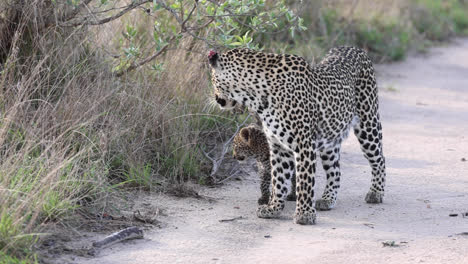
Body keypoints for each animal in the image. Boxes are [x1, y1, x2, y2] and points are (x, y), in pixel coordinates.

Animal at [209, 46, 388, 224]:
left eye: (213, 80)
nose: (216, 98)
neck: (257, 97)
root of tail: (354, 48)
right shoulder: (278, 146)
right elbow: (278, 179)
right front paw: (273, 208)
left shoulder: (304, 145)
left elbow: (304, 182)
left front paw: (304, 214)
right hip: (329, 140)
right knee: (335, 170)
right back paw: (328, 199)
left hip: (368, 124)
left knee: (379, 159)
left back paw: (376, 192)